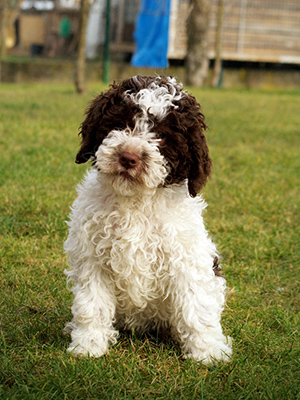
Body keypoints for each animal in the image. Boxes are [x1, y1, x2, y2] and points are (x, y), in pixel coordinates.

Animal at [63, 76, 232, 366]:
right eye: (120, 122)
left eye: (162, 135)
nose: (128, 157)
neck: (136, 201)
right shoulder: (92, 259)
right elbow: (92, 305)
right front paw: (88, 345)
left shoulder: (187, 259)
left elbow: (196, 306)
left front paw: (208, 351)